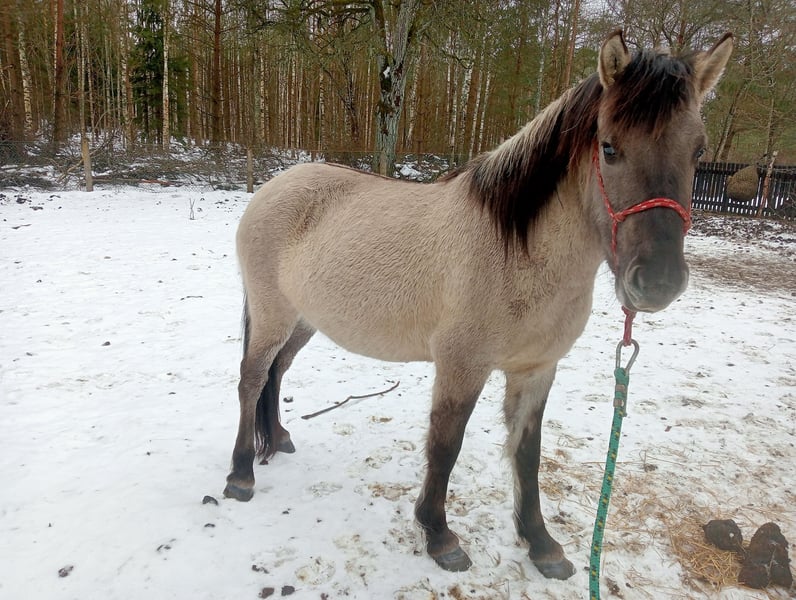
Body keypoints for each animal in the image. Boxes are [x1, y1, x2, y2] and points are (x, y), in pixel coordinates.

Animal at [223, 30, 733, 580]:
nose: (658, 282)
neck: (518, 250)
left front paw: (541, 544)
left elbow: (527, 453)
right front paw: (439, 535)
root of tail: (275, 185)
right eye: (610, 147)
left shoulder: (537, 369)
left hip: (304, 320)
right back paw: (240, 475)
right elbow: (446, 445)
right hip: (273, 314)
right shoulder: (462, 364)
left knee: (277, 373)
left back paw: (278, 438)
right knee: (252, 378)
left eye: (698, 151)